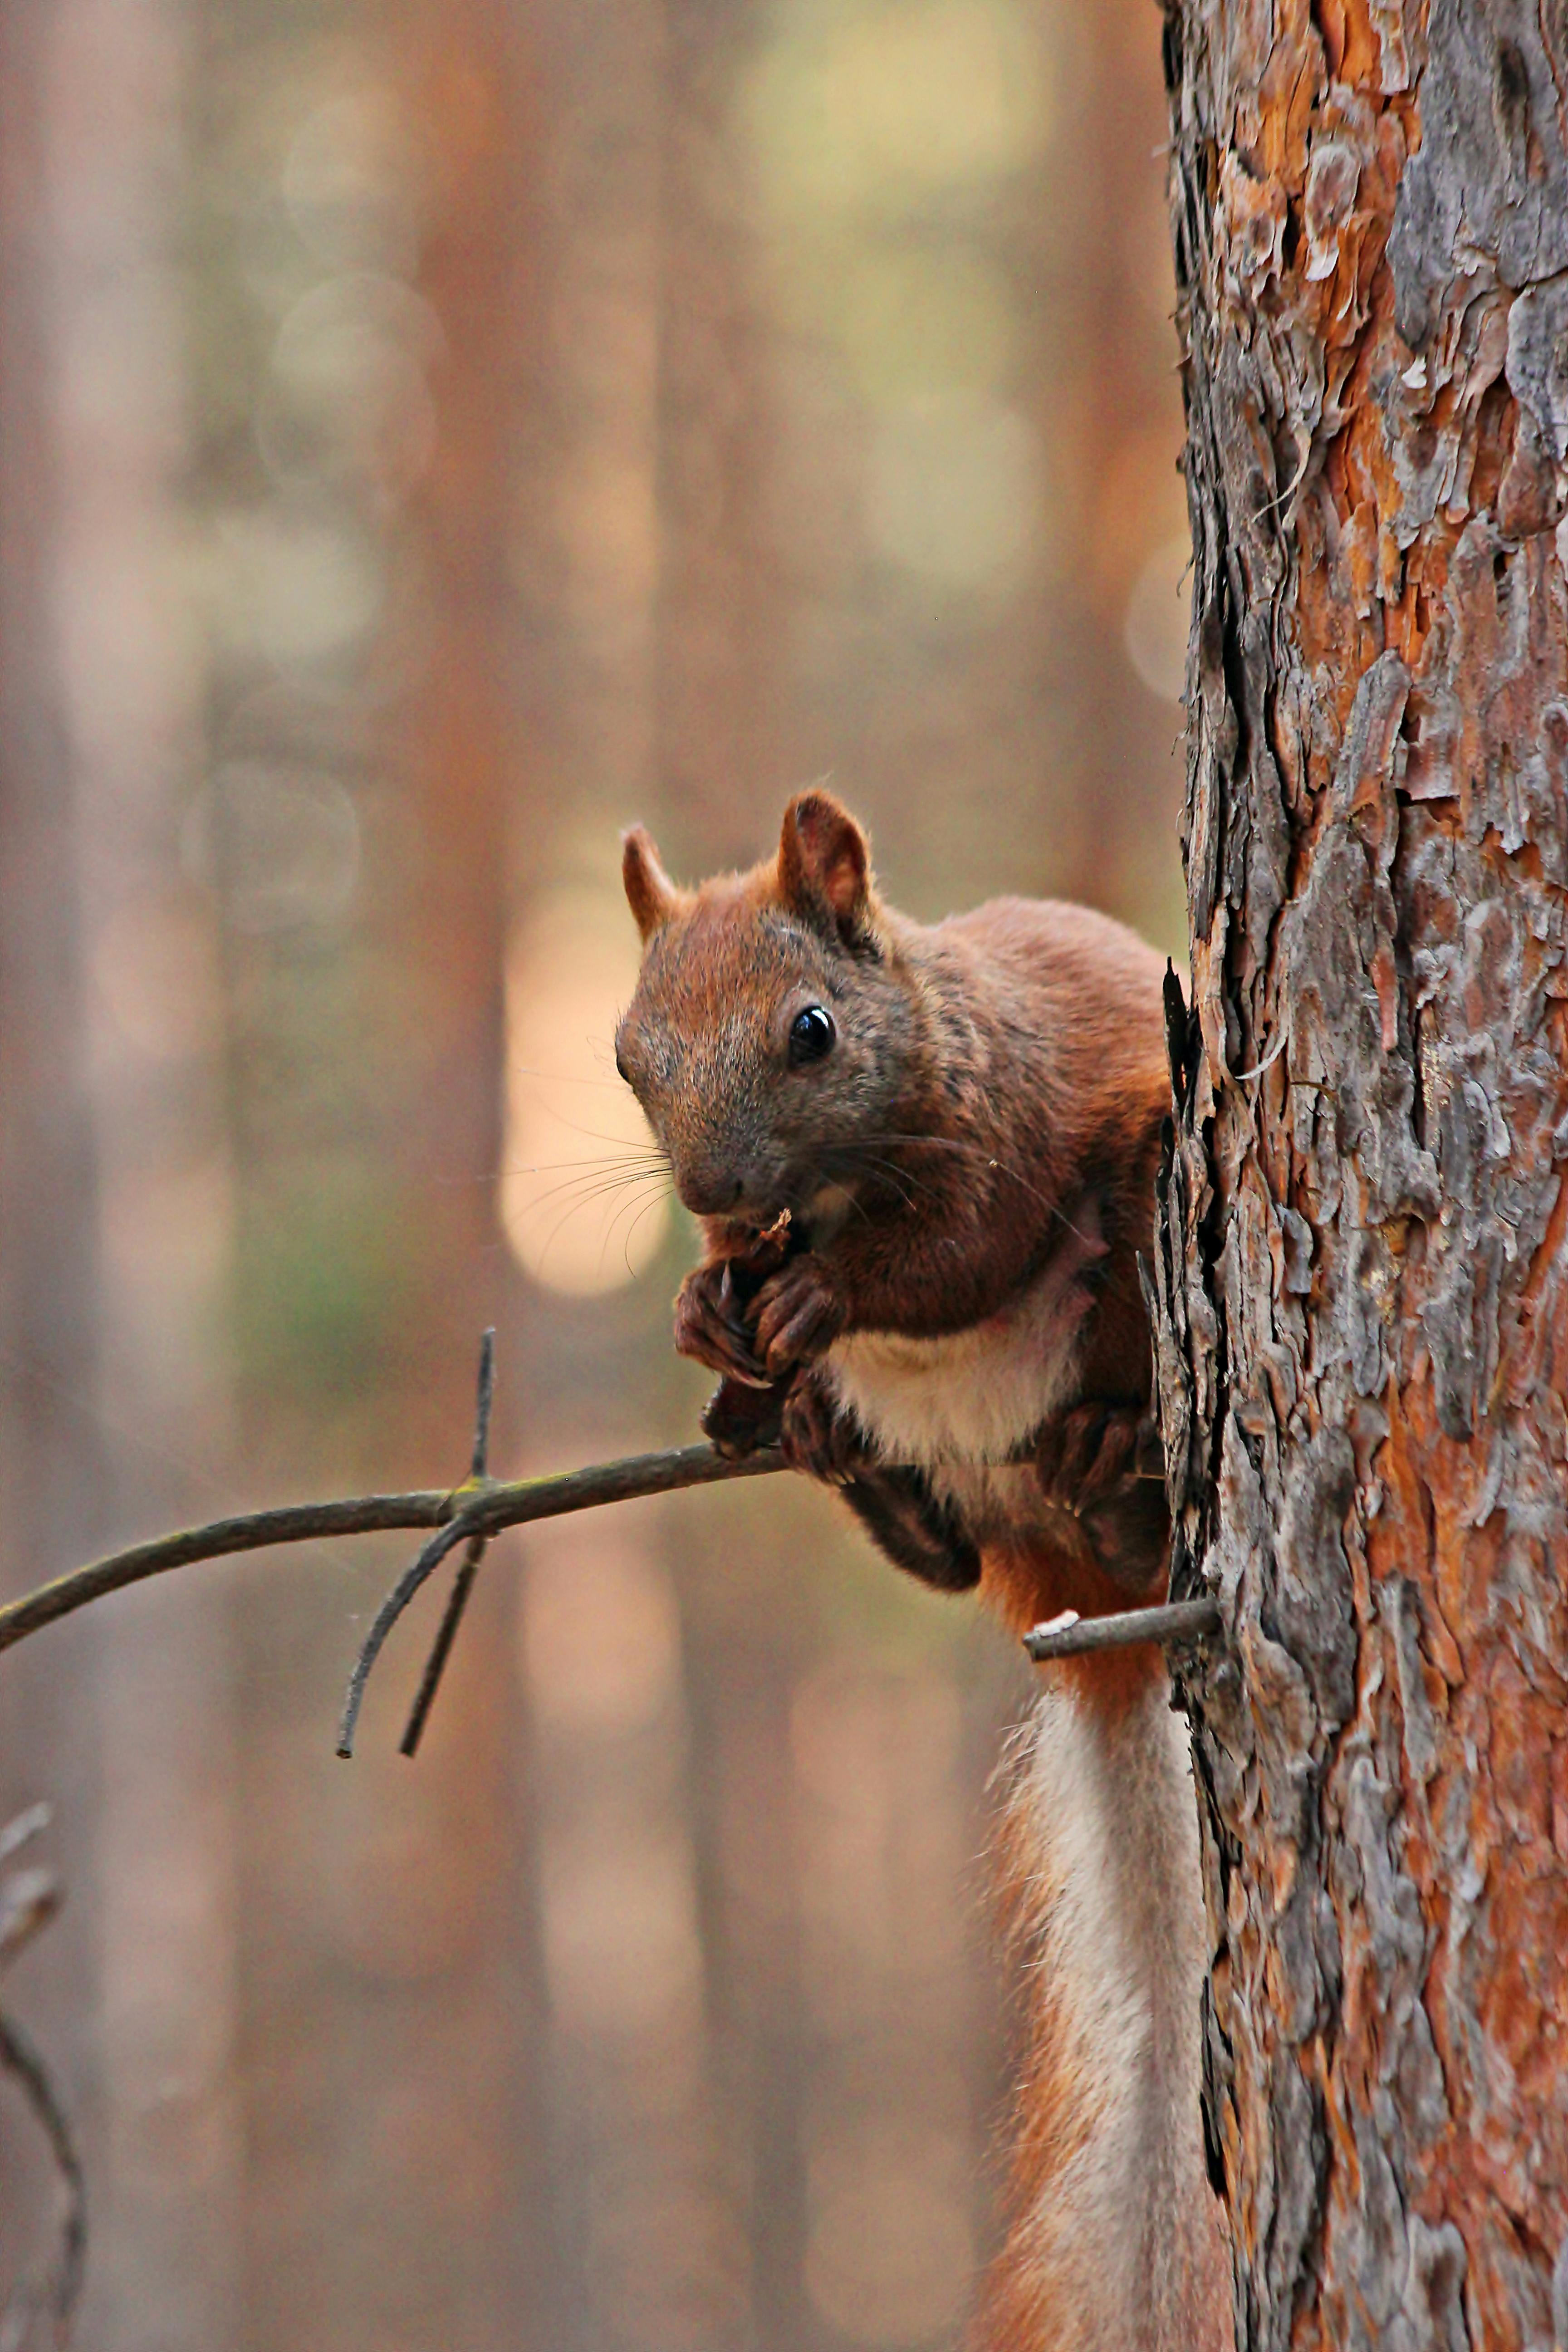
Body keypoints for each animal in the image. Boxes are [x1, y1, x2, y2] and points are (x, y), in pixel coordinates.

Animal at [611, 795, 1241, 2352]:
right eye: (627, 1058)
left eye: (813, 1031)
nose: (711, 1189)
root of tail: (1075, 1575)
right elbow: (741, 1285)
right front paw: (701, 1307)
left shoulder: (1005, 1120)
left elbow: (953, 1258)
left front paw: (830, 1292)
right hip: (943, 1477)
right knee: (944, 1557)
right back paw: (842, 1458)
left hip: (1136, 1207)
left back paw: (1112, 1472)